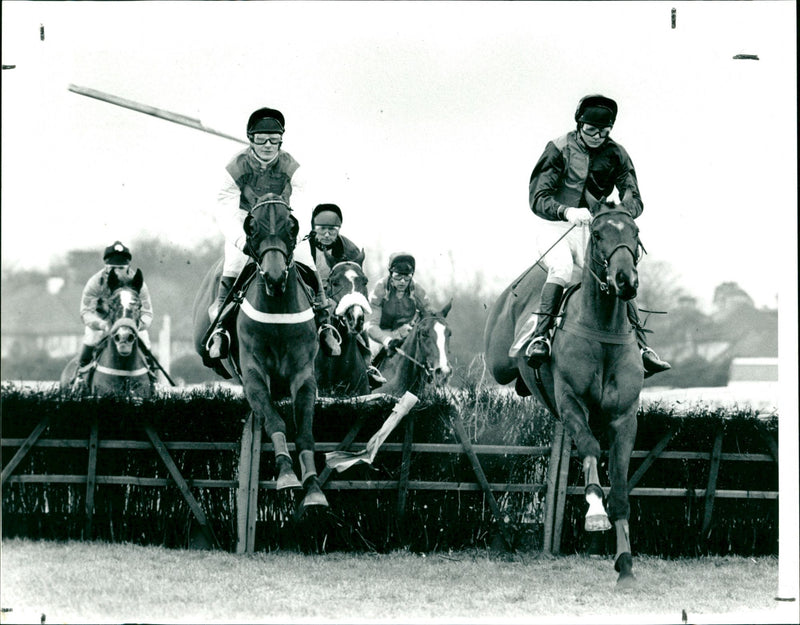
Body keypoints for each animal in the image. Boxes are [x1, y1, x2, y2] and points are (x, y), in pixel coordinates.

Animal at [192, 195, 326, 508]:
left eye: (291, 226)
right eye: (252, 228)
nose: (275, 277)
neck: (278, 311)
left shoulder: (304, 374)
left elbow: (305, 431)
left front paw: (313, 487)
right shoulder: (253, 373)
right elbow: (274, 419)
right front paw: (287, 473)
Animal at [482, 205, 644, 584]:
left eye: (634, 233)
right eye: (597, 234)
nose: (625, 281)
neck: (602, 328)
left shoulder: (624, 417)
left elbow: (620, 488)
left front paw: (625, 564)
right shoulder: (571, 403)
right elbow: (589, 447)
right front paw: (595, 513)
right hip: (498, 361)